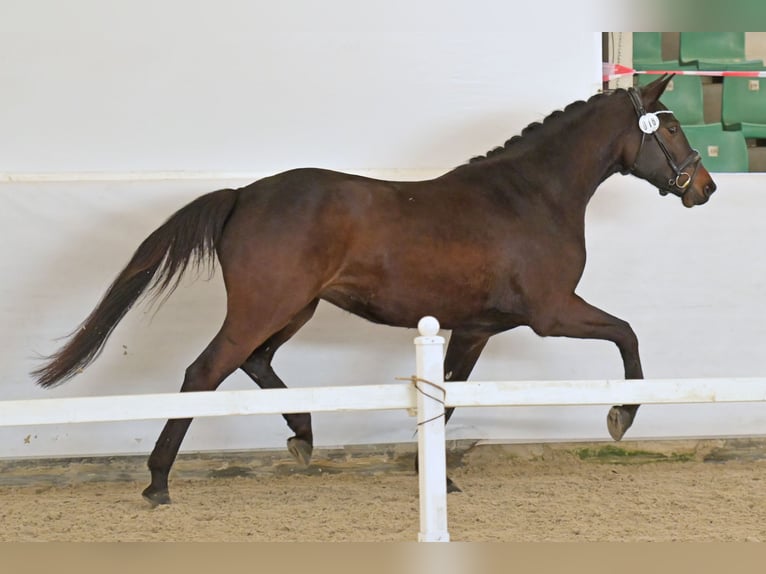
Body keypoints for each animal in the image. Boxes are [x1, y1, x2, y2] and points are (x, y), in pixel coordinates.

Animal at [32, 74, 717, 505]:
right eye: (671, 129)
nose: (704, 188)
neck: (532, 196)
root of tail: (244, 195)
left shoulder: (475, 328)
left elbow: (450, 395)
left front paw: (435, 478)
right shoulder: (551, 313)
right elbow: (627, 335)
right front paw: (622, 416)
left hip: (296, 309)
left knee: (255, 362)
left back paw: (303, 437)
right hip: (267, 307)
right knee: (204, 373)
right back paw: (158, 483)